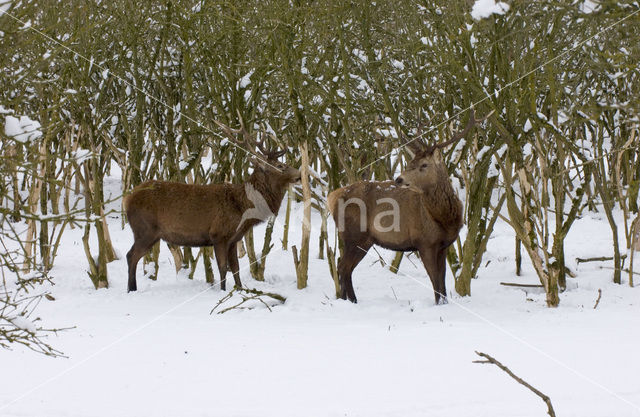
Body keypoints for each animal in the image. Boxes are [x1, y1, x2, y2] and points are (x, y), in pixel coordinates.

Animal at [124, 118, 302, 290]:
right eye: (280, 166)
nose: (300, 175)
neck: (242, 208)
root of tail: (127, 199)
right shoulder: (219, 234)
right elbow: (223, 268)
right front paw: (223, 291)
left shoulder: (234, 239)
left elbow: (236, 268)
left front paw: (240, 290)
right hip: (145, 229)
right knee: (131, 255)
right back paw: (131, 289)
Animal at [328, 109, 488, 304]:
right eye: (410, 163)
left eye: (424, 164)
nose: (399, 179)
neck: (443, 219)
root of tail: (332, 196)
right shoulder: (424, 242)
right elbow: (435, 280)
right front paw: (438, 304)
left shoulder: (444, 245)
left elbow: (442, 281)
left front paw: (444, 303)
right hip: (355, 235)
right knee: (343, 267)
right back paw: (352, 301)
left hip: (360, 239)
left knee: (343, 266)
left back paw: (347, 299)